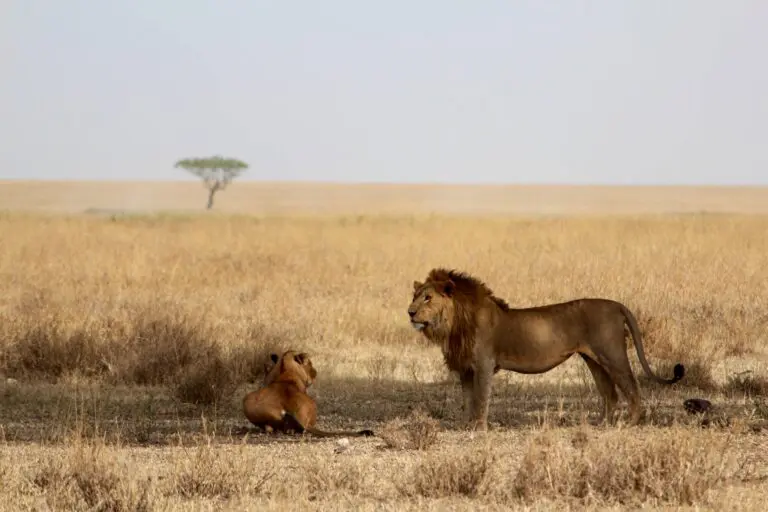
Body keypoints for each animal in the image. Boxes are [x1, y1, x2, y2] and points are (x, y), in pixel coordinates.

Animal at [408, 268, 685, 431]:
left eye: (428, 298)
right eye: (415, 296)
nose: (409, 312)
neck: (455, 323)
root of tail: (617, 305)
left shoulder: (484, 364)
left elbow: (481, 398)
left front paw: (480, 427)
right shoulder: (465, 368)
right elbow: (468, 399)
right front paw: (467, 425)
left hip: (612, 354)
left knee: (632, 386)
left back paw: (630, 423)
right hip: (594, 360)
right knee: (610, 394)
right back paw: (599, 425)